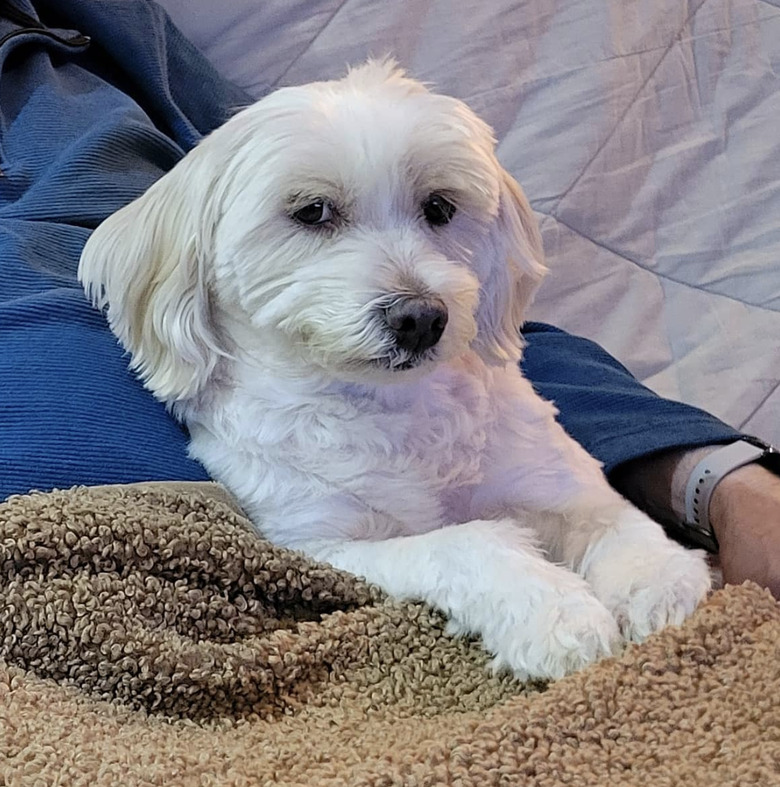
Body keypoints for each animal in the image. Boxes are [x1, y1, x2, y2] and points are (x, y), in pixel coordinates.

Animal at [80, 58, 712, 680]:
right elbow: (465, 543)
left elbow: (613, 521)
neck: (391, 408)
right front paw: (552, 612)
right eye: (312, 211)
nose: (419, 317)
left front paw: (659, 582)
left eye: (440, 207)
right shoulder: (329, 549)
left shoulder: (549, 480)